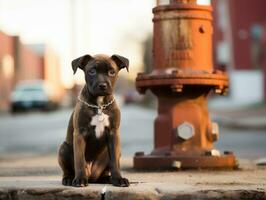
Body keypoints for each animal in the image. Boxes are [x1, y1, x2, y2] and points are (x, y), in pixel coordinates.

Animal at [57, 54, 129, 187]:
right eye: (92, 71)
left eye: (112, 72)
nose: (102, 85)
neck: (99, 104)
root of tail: (91, 176)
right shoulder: (79, 134)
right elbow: (79, 160)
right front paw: (80, 179)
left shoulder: (113, 133)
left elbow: (115, 161)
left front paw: (118, 178)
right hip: (63, 148)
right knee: (67, 169)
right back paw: (69, 178)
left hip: (110, 153)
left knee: (106, 169)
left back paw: (107, 178)